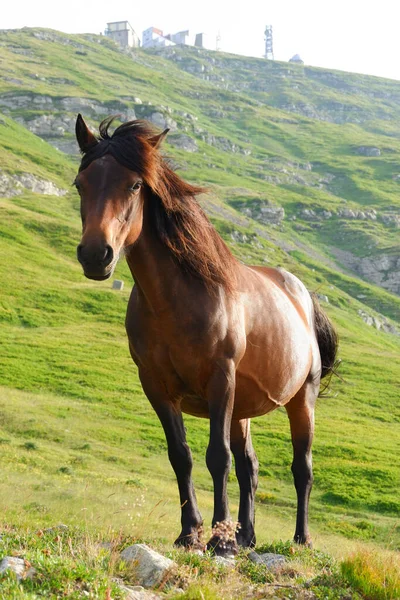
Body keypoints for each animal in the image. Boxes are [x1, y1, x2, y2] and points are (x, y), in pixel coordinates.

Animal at [75, 115, 338, 556]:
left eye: (134, 185)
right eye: (81, 183)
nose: (96, 255)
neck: (177, 301)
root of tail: (302, 293)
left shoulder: (220, 379)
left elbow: (218, 457)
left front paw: (218, 538)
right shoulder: (156, 385)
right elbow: (181, 455)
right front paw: (190, 532)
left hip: (302, 399)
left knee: (301, 468)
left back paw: (299, 539)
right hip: (242, 408)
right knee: (251, 466)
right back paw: (246, 536)